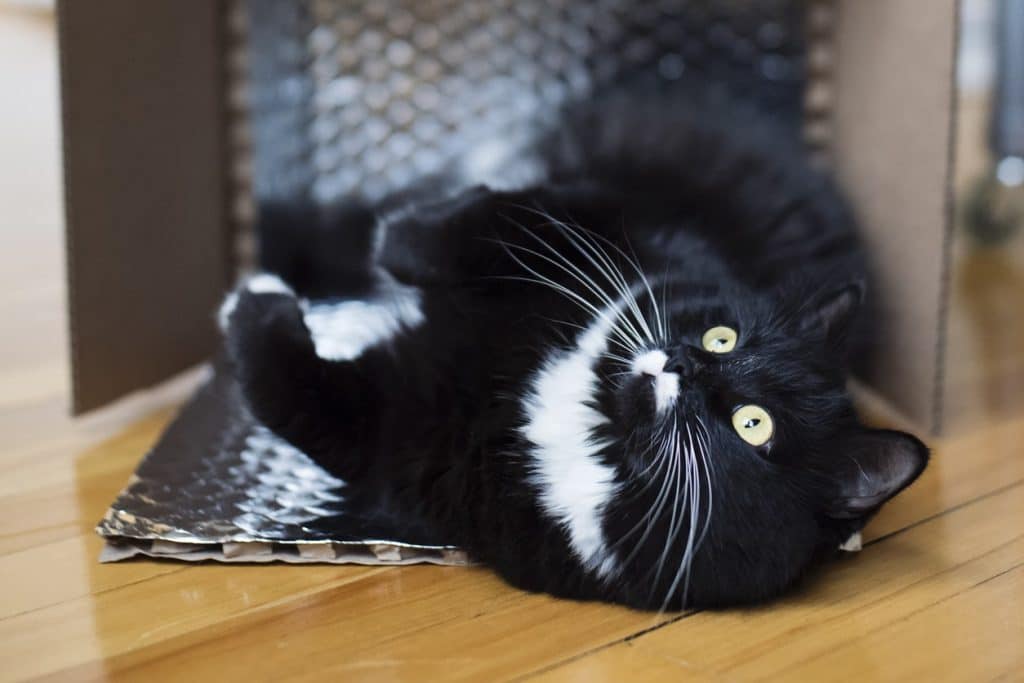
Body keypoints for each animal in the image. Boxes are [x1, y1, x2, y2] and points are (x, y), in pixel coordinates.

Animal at [222, 89, 929, 610]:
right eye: (721, 336)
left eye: (753, 425)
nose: (683, 362)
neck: (579, 414)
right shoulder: (619, 220)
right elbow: (504, 216)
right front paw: (401, 239)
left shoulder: (401, 437)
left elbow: (289, 391)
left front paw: (252, 297)